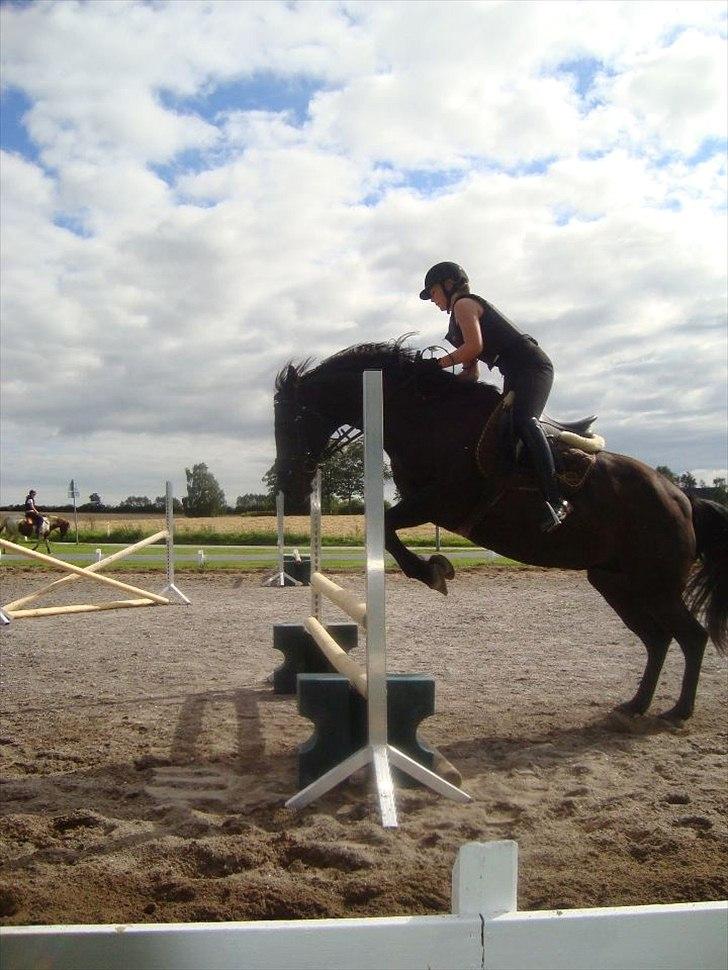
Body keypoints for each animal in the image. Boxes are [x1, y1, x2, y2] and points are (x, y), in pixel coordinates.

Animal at [274, 340, 728, 720]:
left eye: (293, 419)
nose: (289, 487)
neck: (422, 416)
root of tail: (682, 497)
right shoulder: (428, 504)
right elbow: (387, 528)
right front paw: (434, 568)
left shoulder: (442, 501)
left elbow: (386, 528)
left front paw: (433, 570)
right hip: (616, 582)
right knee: (657, 639)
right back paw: (637, 704)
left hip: (655, 586)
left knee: (691, 637)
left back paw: (678, 711)